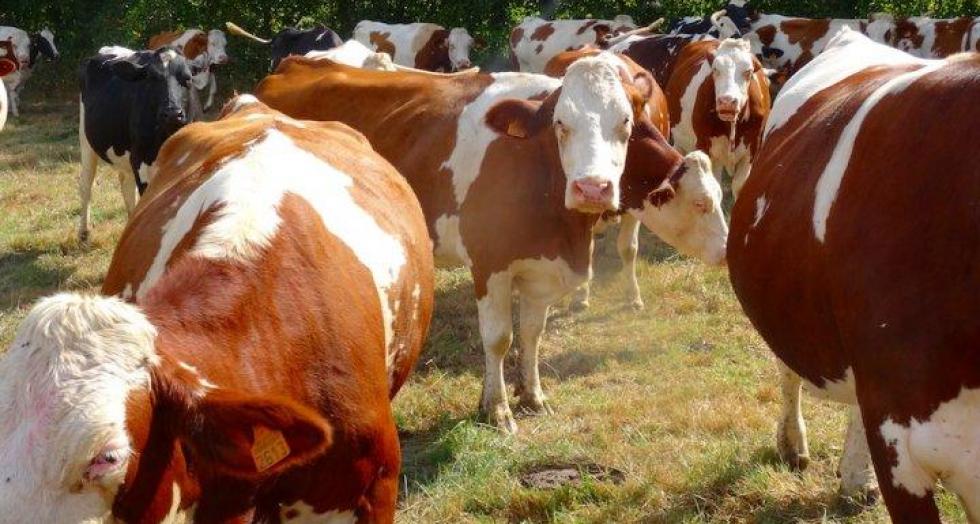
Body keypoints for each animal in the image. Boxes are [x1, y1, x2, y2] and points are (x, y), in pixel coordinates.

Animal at [77, 46, 198, 243]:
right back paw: (83, 232)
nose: (172, 113)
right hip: (86, 142)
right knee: (86, 184)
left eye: (187, 78)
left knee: (126, 187)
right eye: (151, 78)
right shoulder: (142, 164)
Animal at [256, 53, 728, 433]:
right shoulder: (490, 264)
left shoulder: (542, 267)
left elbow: (533, 333)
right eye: (561, 124)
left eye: (625, 122)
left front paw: (533, 395)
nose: (592, 188)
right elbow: (499, 337)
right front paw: (496, 409)